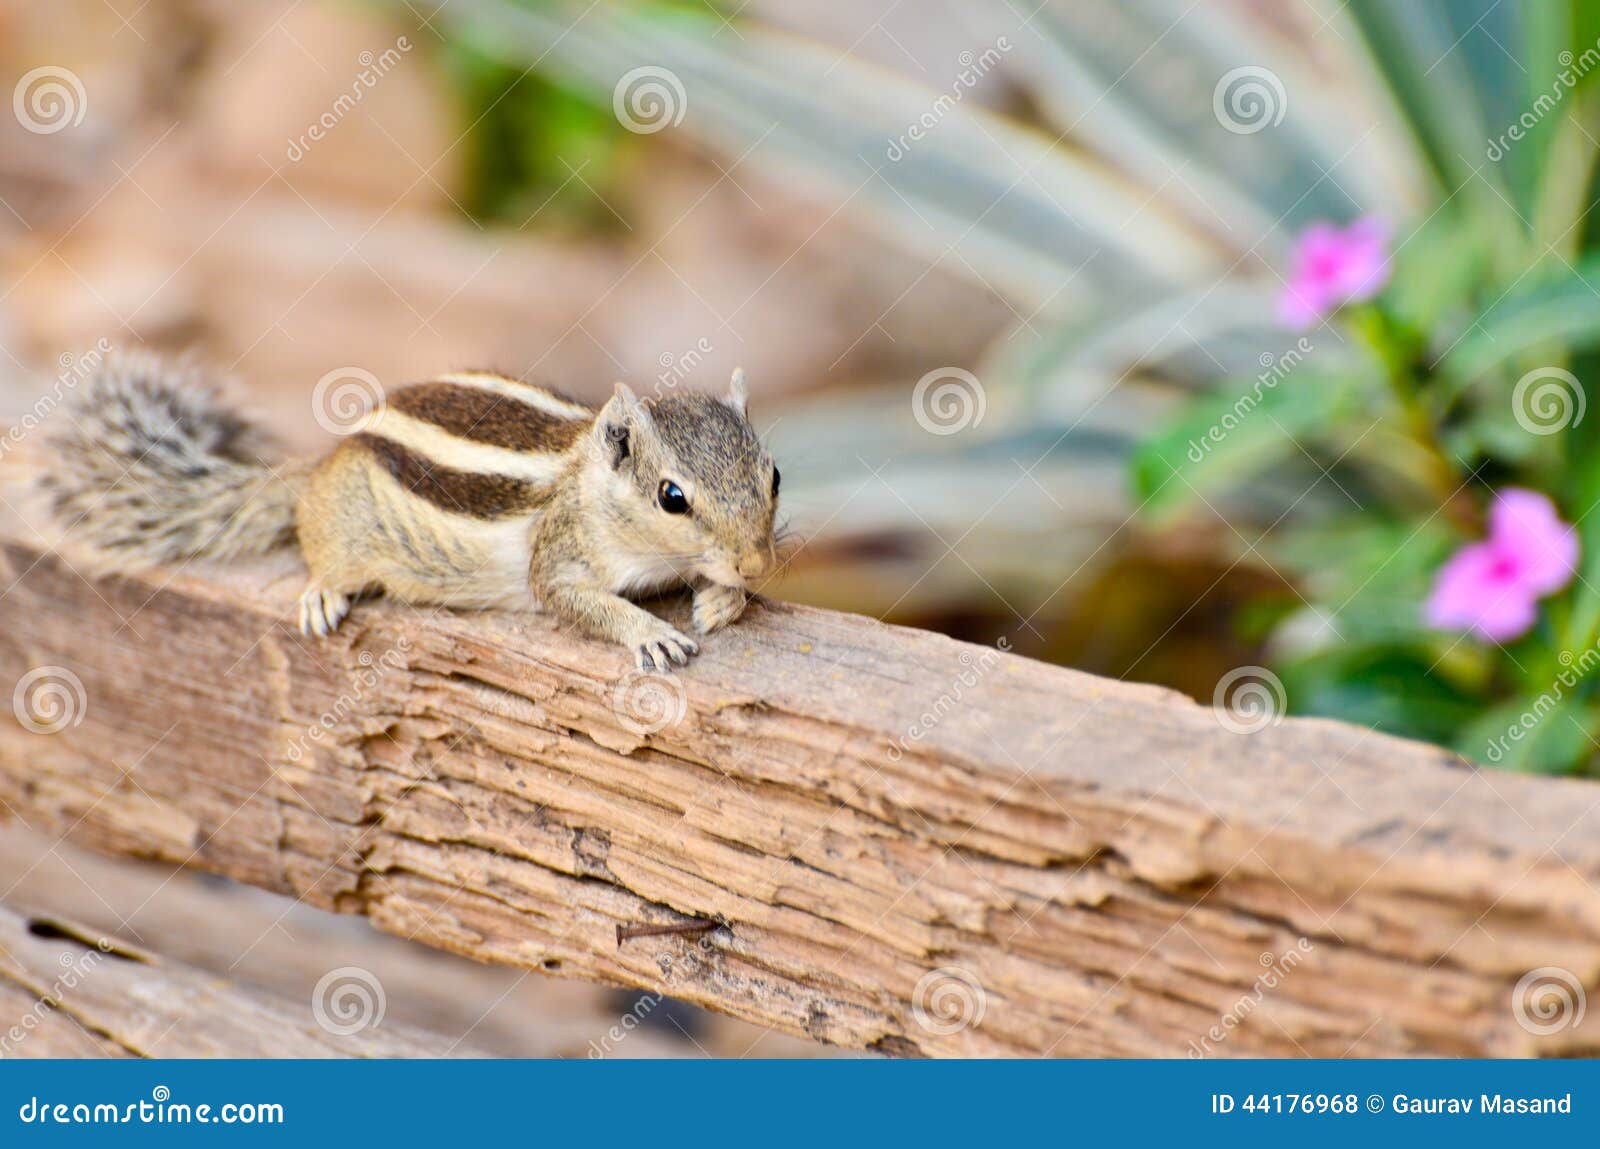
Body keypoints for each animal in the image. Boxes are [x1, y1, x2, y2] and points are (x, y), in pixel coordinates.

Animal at [37, 355, 784, 671]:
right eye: (672, 497)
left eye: (774, 474)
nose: (757, 565)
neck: (588, 483)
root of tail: (320, 466)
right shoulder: (559, 554)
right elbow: (573, 599)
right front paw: (650, 632)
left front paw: (721, 599)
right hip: (342, 533)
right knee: (323, 558)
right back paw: (321, 593)